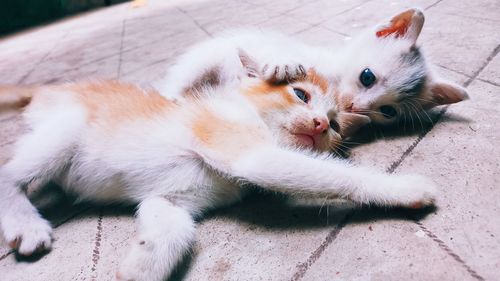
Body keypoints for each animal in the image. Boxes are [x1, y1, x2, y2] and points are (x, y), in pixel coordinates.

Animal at [0, 55, 436, 280]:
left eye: (333, 126)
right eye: (300, 95)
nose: (316, 125)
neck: (253, 118)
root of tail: (50, 88)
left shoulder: (170, 199)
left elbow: (175, 230)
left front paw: (142, 265)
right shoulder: (244, 150)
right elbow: (335, 174)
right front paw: (402, 189)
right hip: (67, 127)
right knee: (8, 174)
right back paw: (26, 225)